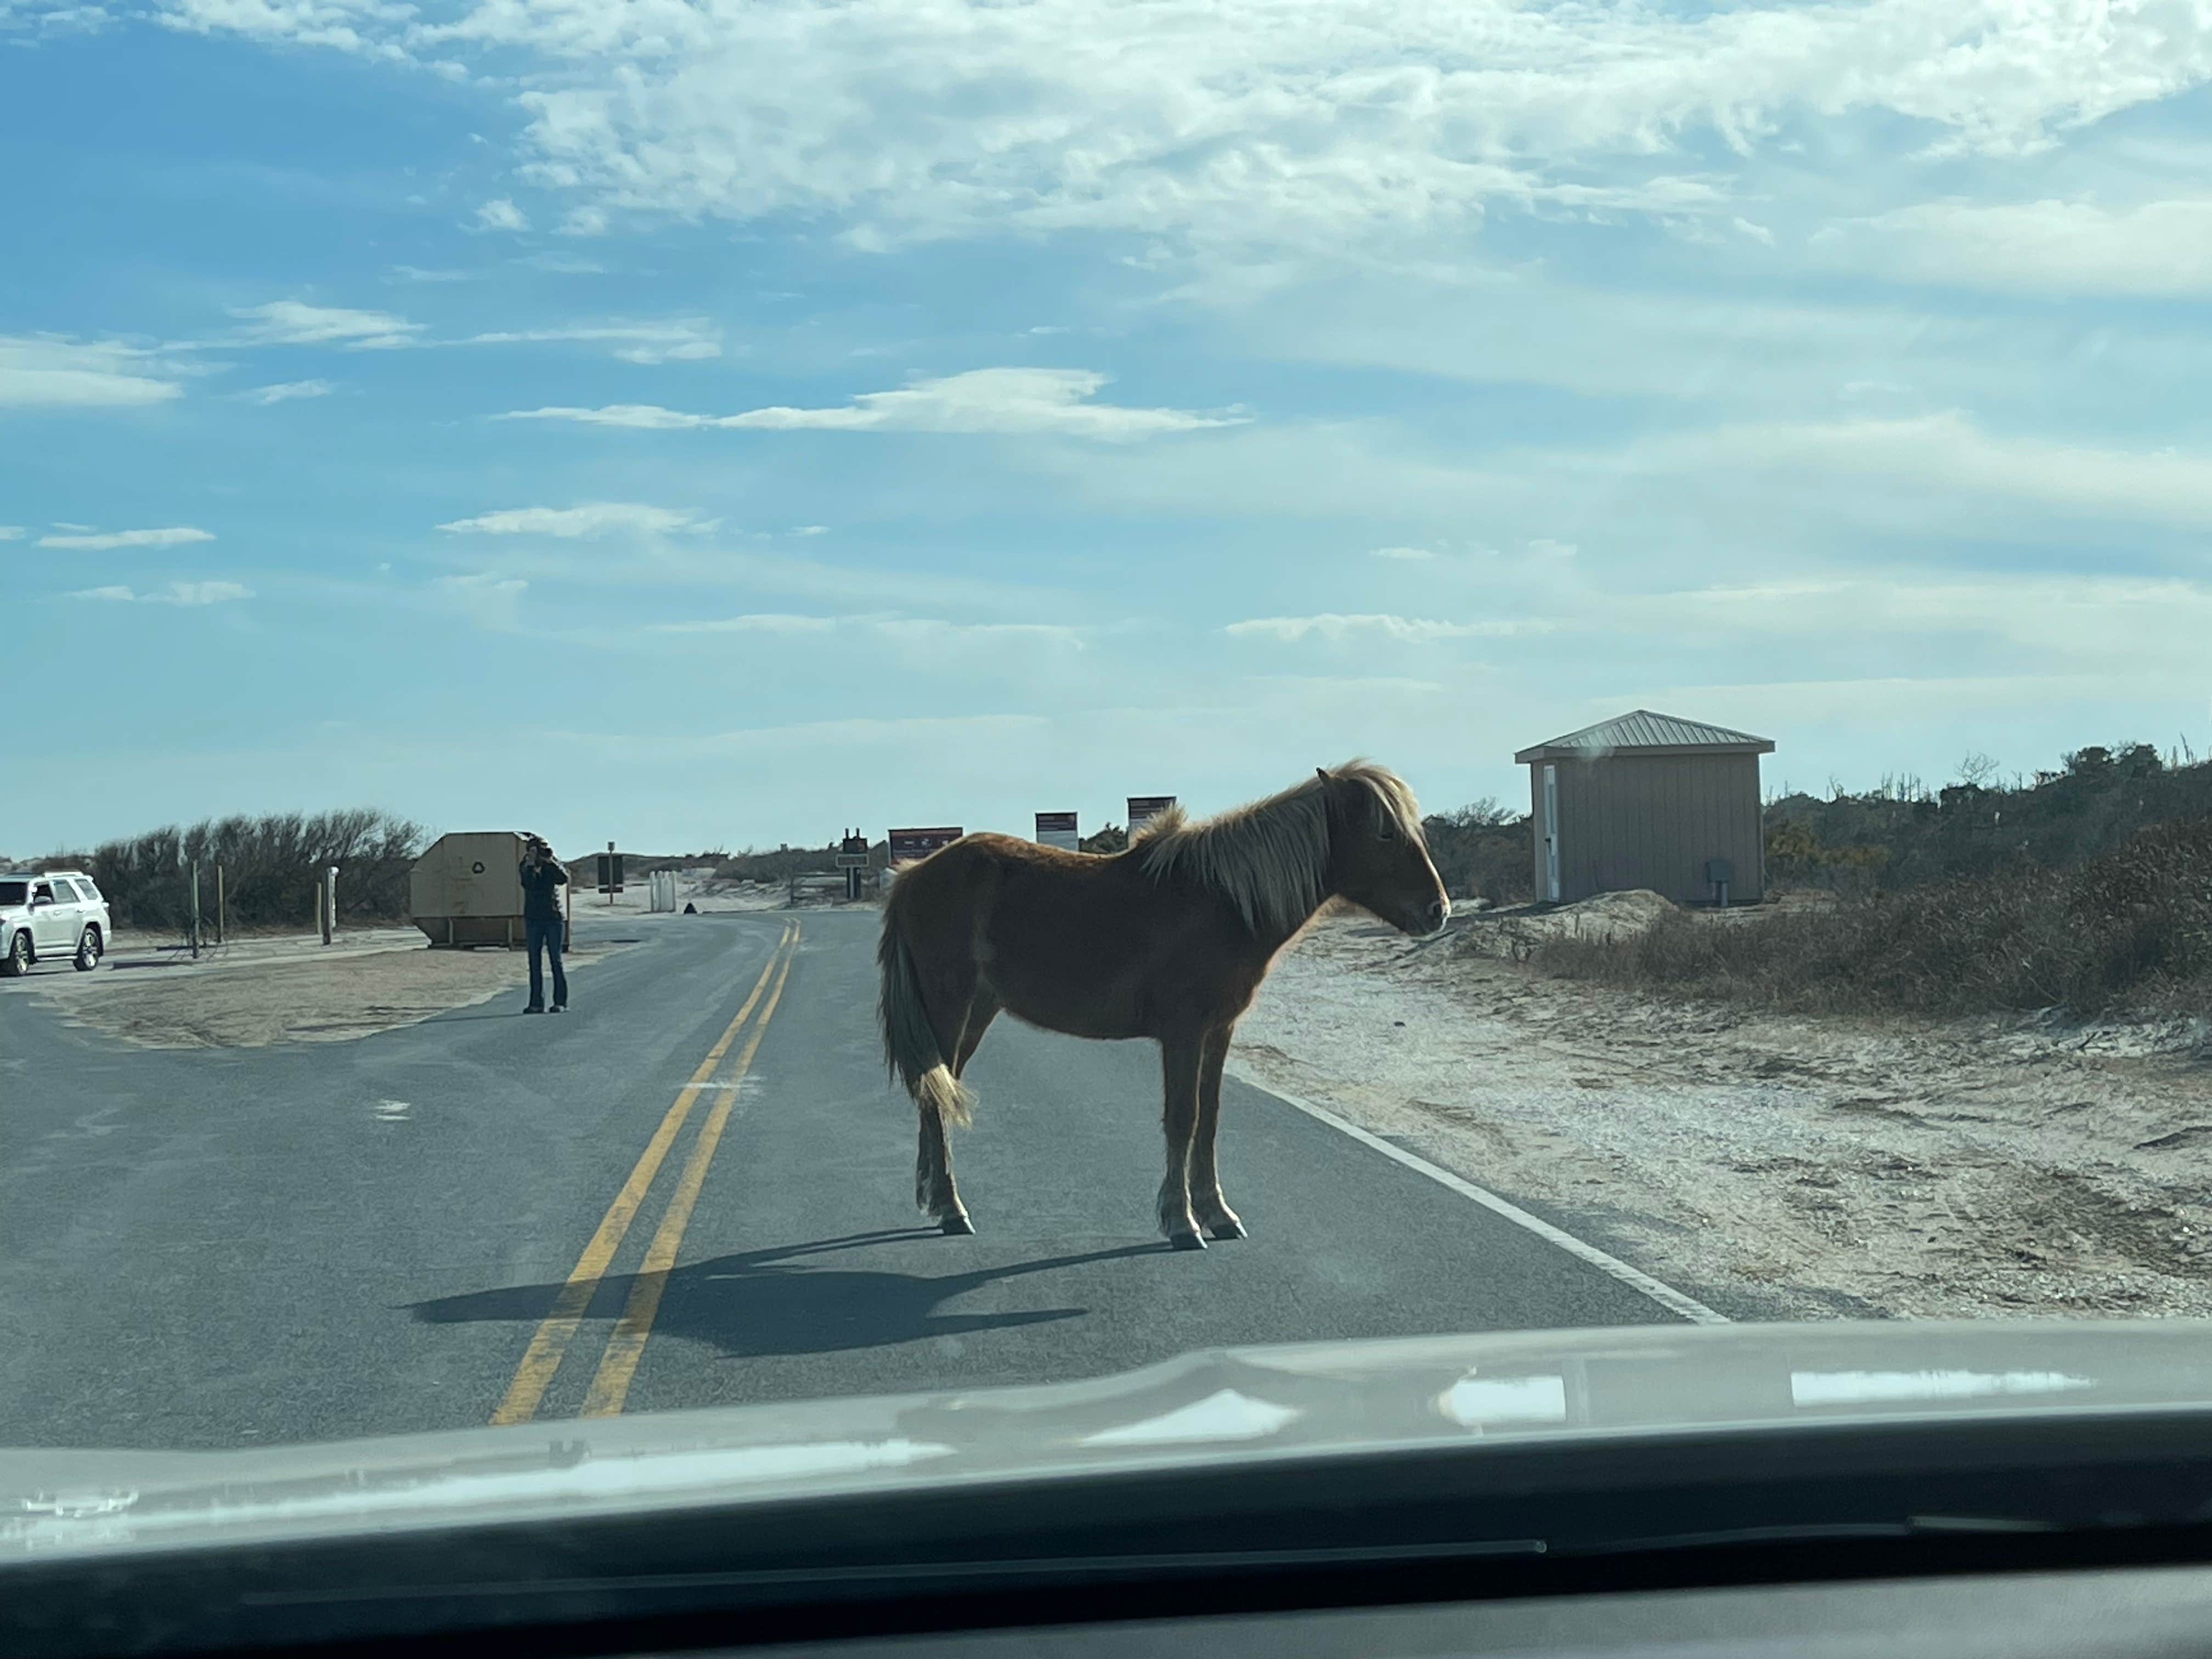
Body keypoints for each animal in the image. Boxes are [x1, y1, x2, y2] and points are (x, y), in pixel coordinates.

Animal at [876, 761, 1449, 1250]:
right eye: (1384, 832)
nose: (1438, 910)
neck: (1222, 901)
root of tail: (912, 876)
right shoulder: (1184, 1033)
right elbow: (1182, 1118)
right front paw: (1182, 1221)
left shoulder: (1219, 1032)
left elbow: (1210, 1119)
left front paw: (1218, 1214)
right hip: (950, 1007)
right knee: (936, 1096)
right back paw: (952, 1208)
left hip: (976, 1013)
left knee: (938, 1090)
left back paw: (936, 1200)